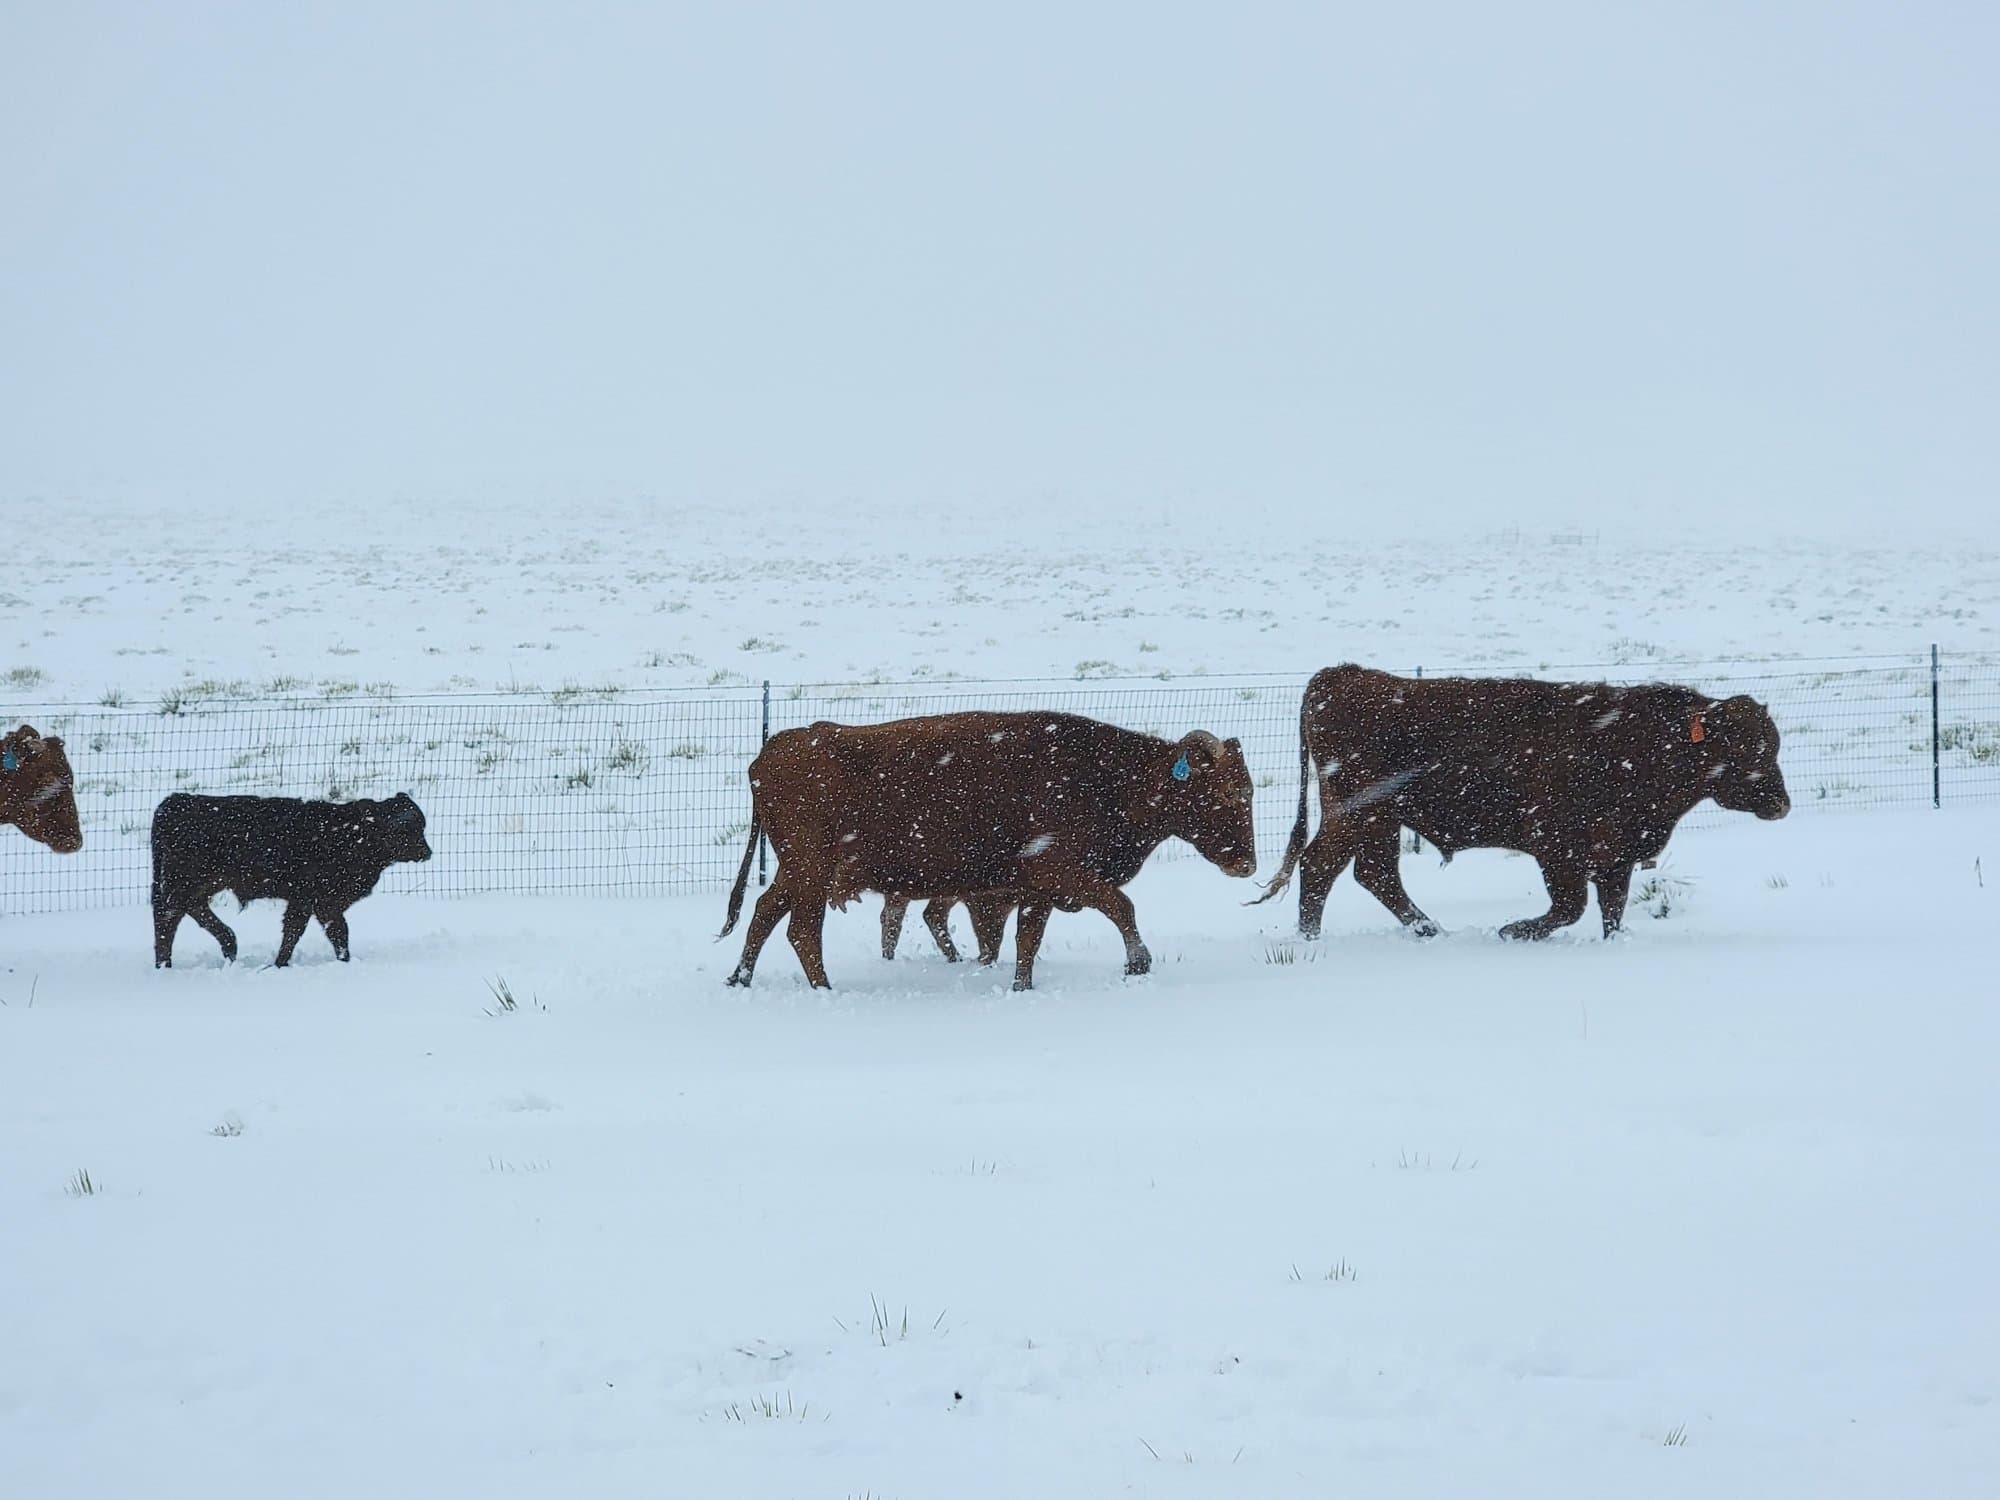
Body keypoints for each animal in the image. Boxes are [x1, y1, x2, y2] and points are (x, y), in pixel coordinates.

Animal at [151, 792, 433, 968]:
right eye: (405, 828)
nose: (427, 852)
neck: (351, 834)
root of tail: (175, 801)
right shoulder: (318, 900)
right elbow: (324, 931)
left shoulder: (311, 902)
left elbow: (311, 931)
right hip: (184, 882)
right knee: (168, 918)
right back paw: (167, 964)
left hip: (202, 883)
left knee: (188, 910)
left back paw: (228, 944)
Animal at [719, 711, 1257, 990]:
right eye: (1227, 792)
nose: (1246, 863)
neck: (1106, 776)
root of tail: (769, 752)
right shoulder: (1060, 873)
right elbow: (1121, 906)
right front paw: (1138, 963)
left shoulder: (1036, 890)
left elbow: (1026, 940)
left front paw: (1022, 986)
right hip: (810, 871)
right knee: (799, 930)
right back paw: (822, 989)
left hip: (797, 873)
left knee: (767, 916)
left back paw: (740, 979)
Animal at [1253, 664, 1790, 940]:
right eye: (1743, 748)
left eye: (1773, 744)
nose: (1782, 804)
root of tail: (1342, 674)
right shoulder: (1558, 850)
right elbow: (1570, 907)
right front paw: (1512, 931)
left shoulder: (1615, 857)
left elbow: (1611, 910)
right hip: (1358, 814)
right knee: (1323, 866)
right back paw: (1311, 939)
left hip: (1379, 822)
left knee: (1374, 874)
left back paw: (1428, 930)